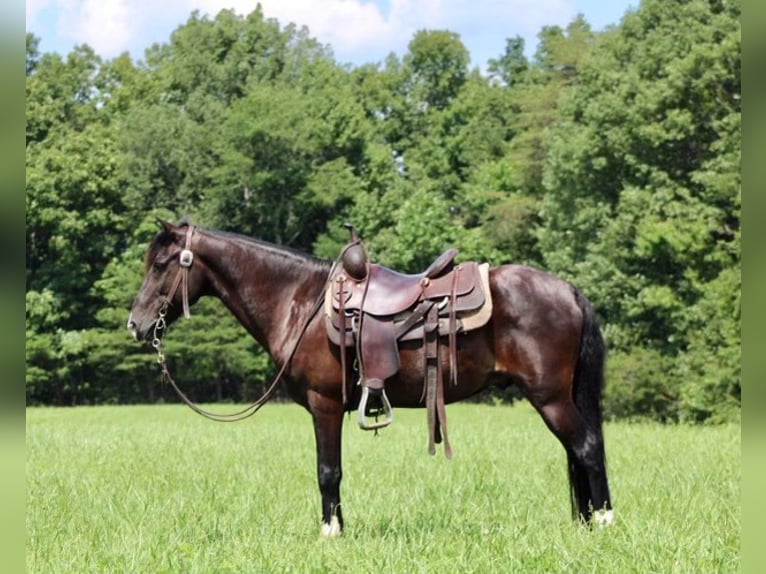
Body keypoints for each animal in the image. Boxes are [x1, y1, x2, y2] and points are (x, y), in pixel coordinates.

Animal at [127, 222, 616, 540]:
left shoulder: (324, 404)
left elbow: (328, 471)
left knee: (587, 448)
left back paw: (606, 522)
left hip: (550, 397)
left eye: (163, 264)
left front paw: (330, 532)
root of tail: (569, 291)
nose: (136, 324)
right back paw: (587, 522)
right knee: (577, 451)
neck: (299, 302)